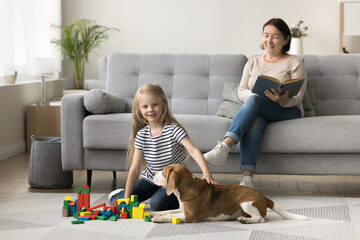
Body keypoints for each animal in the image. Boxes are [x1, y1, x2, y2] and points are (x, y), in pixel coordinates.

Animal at [150, 164, 308, 224]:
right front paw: (155, 213)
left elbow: (170, 216)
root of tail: (264, 197)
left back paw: (246, 220)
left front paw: (158, 219)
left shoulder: (190, 216)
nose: (152, 173)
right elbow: (168, 211)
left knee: (260, 219)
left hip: (246, 203)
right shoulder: (182, 209)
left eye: (163, 173)